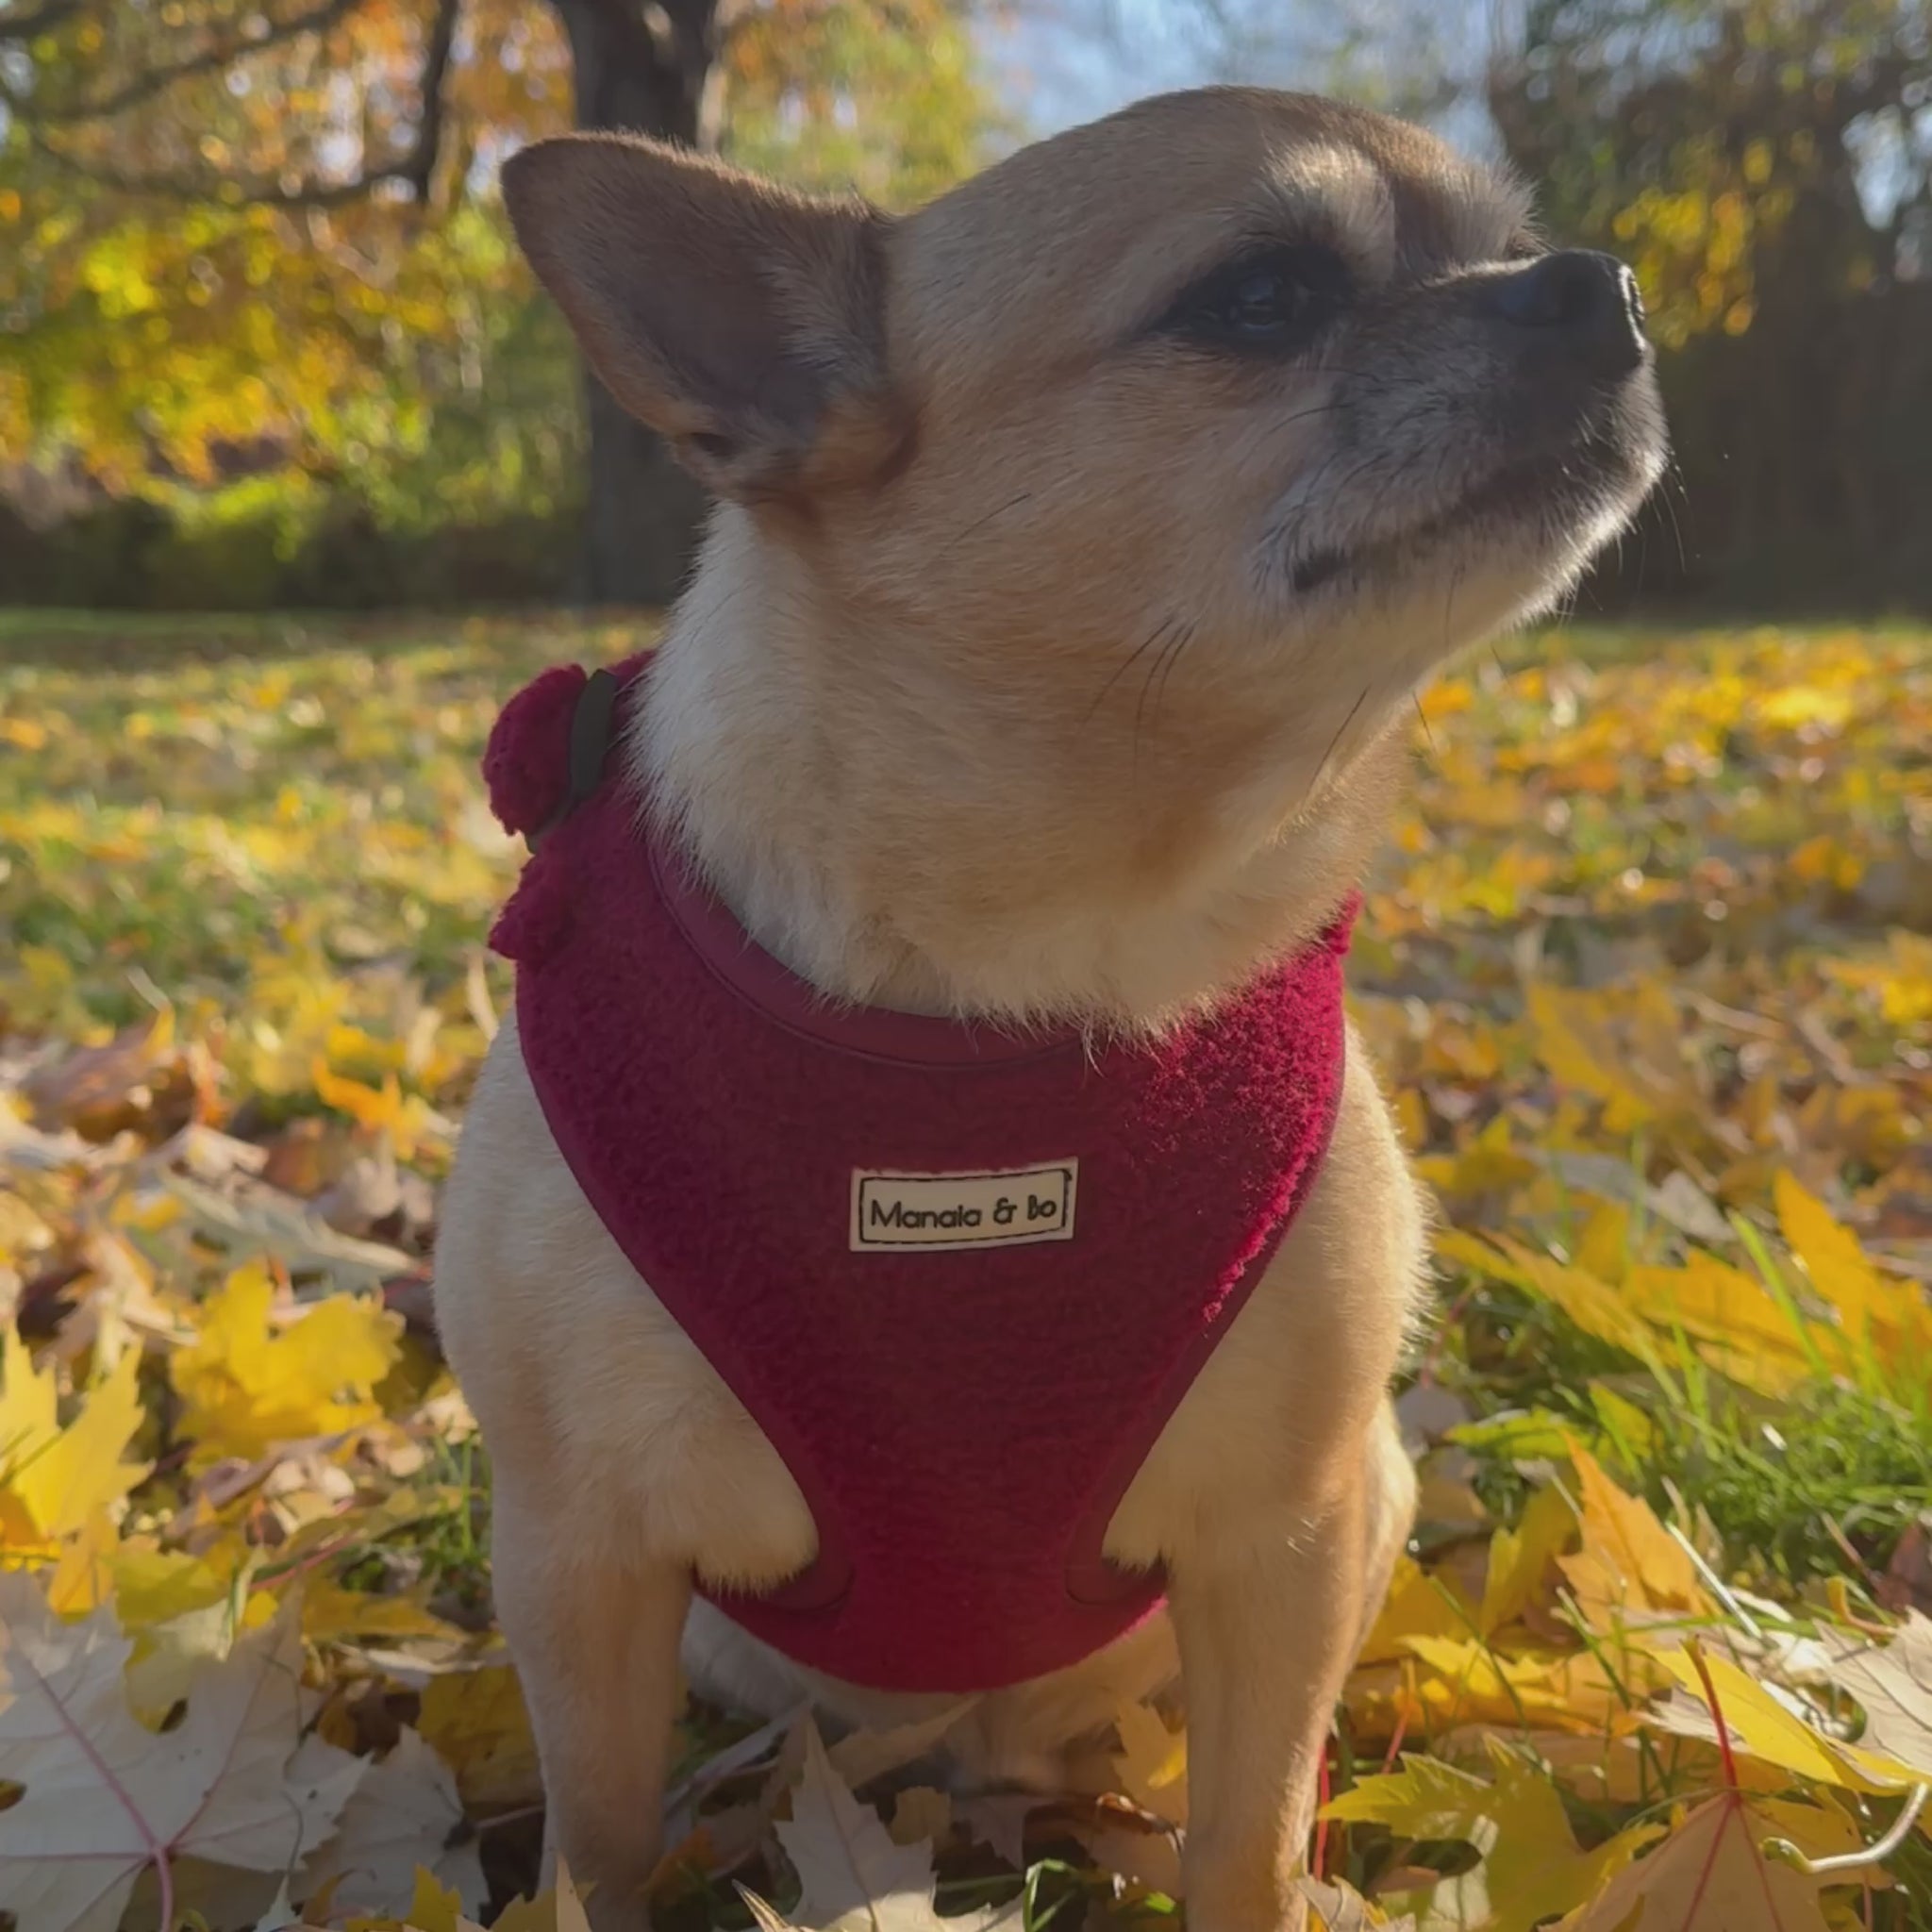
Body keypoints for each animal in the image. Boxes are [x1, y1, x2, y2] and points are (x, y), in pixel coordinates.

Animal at [434, 87, 1661, 1932]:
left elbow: (1244, 1843)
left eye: (1509, 240)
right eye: (1260, 299)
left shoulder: (1286, 1538)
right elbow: (600, 1846)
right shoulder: (584, 1562)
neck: (1038, 975)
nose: (1597, 282)